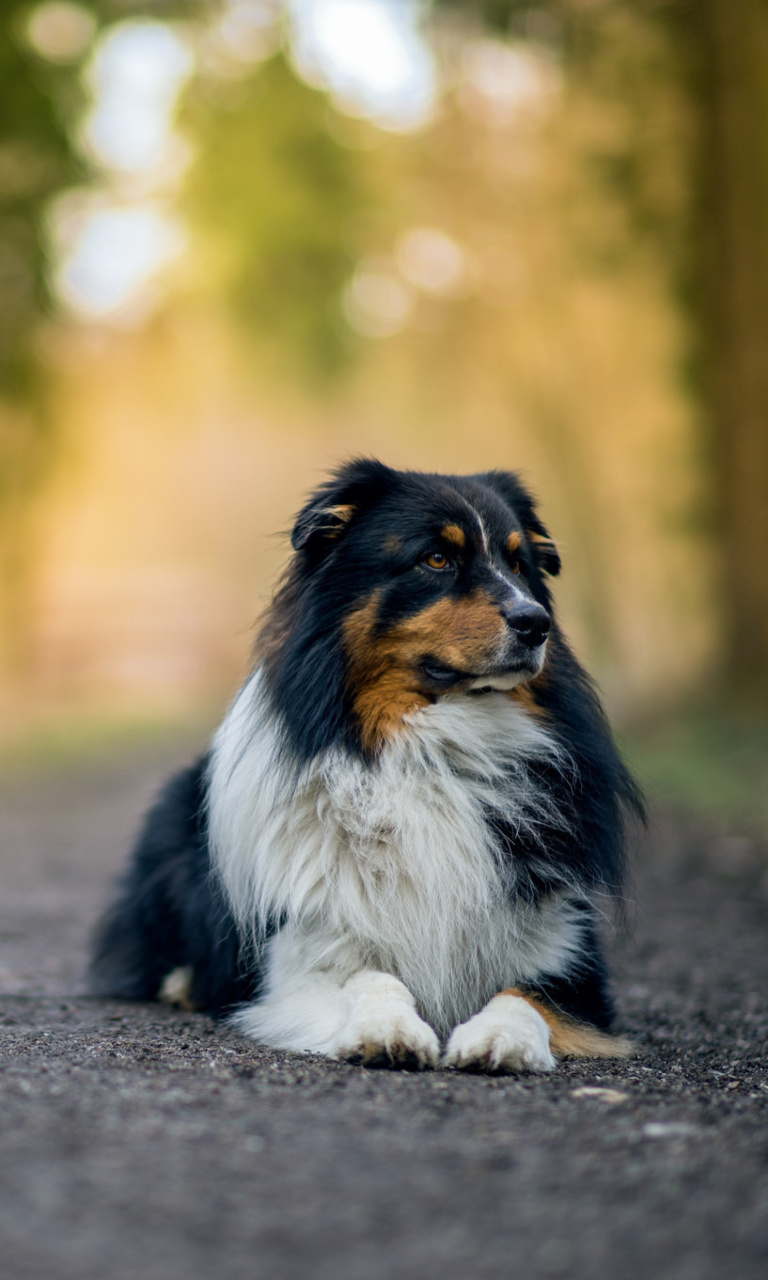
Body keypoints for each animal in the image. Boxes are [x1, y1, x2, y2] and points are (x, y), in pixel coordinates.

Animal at [90, 458, 642, 1070]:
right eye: (436, 558)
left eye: (520, 564)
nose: (535, 621)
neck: (429, 749)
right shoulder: (300, 955)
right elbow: (370, 976)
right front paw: (388, 1030)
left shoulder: (567, 954)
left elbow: (522, 995)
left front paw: (501, 1039)